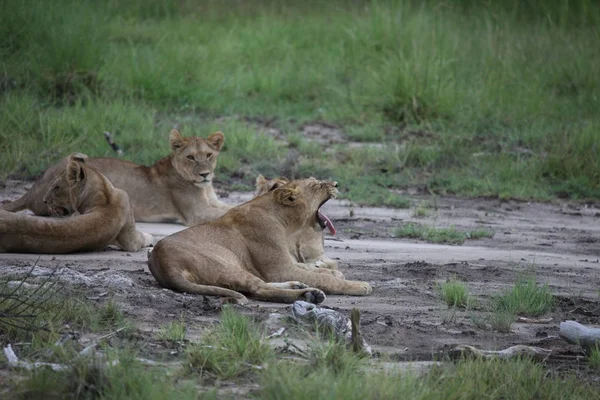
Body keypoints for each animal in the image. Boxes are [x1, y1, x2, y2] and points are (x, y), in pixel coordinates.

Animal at [0, 153, 154, 253]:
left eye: (56, 187)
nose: (44, 200)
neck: (104, 197)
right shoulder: (131, 241)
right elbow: (142, 237)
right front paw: (150, 238)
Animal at [1, 130, 232, 227]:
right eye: (191, 157)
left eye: (209, 155)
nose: (205, 174)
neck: (204, 188)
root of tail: (32, 188)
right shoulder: (197, 213)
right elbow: (226, 213)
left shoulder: (213, 202)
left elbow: (230, 207)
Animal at [146, 177, 370, 304]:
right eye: (317, 185)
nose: (336, 184)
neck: (287, 223)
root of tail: (163, 264)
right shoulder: (279, 269)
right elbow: (325, 279)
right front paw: (357, 285)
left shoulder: (285, 266)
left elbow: (313, 270)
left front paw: (332, 272)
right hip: (225, 265)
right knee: (258, 289)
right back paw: (309, 295)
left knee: (260, 285)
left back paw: (298, 286)